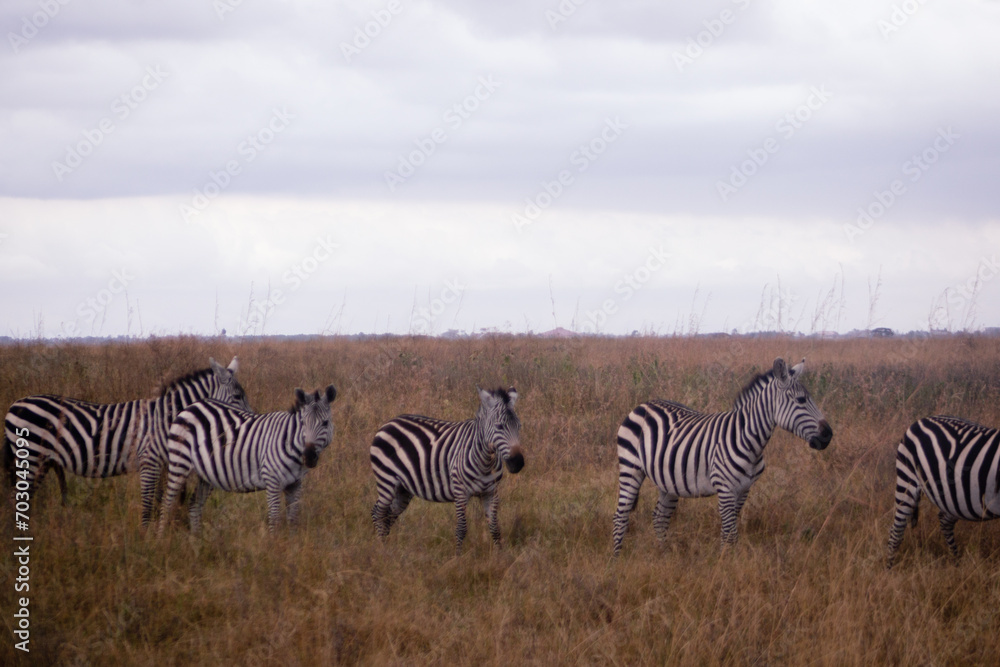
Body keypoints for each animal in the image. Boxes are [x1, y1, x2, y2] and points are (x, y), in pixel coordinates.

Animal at [4, 356, 247, 507]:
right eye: (237, 397)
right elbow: (149, 502)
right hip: (32, 456)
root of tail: (14, 404)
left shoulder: (160, 464)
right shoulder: (149, 460)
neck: (165, 418)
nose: (248, 421)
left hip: (42, 462)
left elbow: (159, 500)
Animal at [158, 385, 337, 536]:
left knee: (194, 504)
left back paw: (196, 540)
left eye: (325, 423)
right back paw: (160, 540)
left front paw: (291, 547)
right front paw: (274, 548)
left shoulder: (296, 484)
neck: (290, 443)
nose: (309, 456)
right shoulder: (272, 480)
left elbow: (293, 519)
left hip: (205, 473)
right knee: (166, 504)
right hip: (179, 462)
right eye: (303, 423)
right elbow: (274, 519)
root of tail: (192, 406)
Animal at [369, 386, 525, 555]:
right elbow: (461, 528)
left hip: (403, 489)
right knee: (378, 513)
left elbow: (495, 527)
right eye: (499, 426)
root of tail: (389, 422)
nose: (518, 463)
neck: (485, 462)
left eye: (519, 426)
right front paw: (458, 557)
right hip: (386, 480)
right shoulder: (460, 493)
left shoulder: (491, 493)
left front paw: (500, 555)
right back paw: (381, 548)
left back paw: (387, 547)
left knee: (389, 515)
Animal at [613, 358, 833, 555]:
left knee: (659, 517)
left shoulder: (744, 490)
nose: (828, 435)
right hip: (630, 468)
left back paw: (665, 555)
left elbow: (730, 532)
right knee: (620, 516)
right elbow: (730, 533)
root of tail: (643, 405)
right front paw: (725, 564)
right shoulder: (725, 488)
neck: (748, 440)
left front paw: (728, 562)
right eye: (801, 400)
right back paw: (616, 559)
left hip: (667, 480)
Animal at [886, 416, 1000, 568]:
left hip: (955, 499)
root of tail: (920, 420)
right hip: (907, 478)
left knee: (944, 521)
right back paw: (889, 568)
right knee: (896, 530)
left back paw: (956, 562)